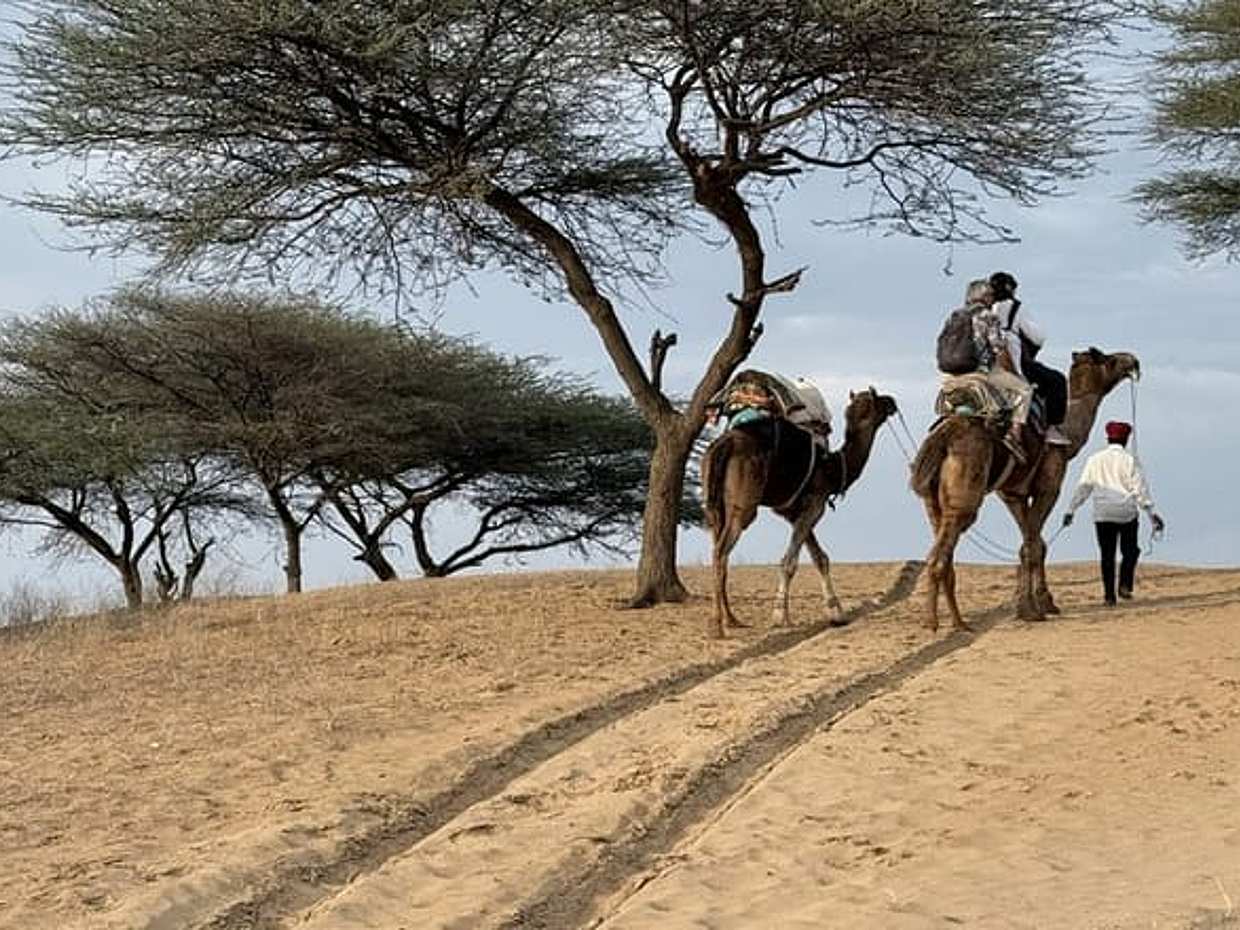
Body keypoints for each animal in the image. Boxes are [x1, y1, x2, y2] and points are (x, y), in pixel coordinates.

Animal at [701, 387, 898, 638]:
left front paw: (837, 613)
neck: (834, 469)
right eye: (879, 400)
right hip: (743, 506)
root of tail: (723, 446)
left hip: (713, 504)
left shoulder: (795, 513)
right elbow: (790, 562)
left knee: (718, 549)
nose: (892, 402)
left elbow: (820, 558)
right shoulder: (815, 504)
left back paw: (732, 619)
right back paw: (717, 625)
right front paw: (780, 616)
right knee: (721, 551)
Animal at [910, 348, 1140, 632]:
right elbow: (1033, 546)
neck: (1067, 433)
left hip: (932, 498)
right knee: (943, 552)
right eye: (1109, 359)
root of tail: (943, 438)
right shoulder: (1049, 487)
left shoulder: (1013, 495)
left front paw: (1042, 603)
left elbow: (1031, 543)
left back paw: (955, 620)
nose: (1132, 360)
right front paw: (1032, 609)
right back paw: (936, 622)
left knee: (942, 547)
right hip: (966, 492)